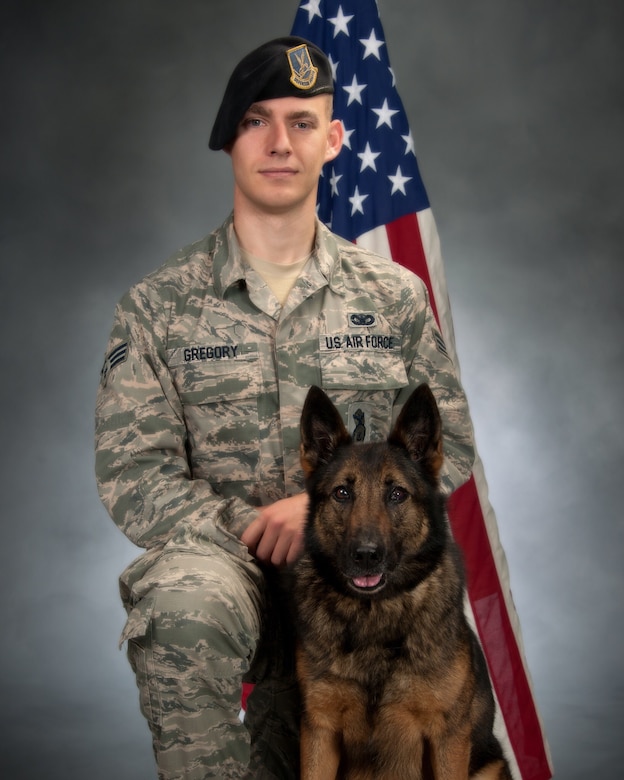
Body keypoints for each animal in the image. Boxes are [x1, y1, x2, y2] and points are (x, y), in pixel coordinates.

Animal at [294, 386, 510, 780]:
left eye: (397, 494)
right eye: (342, 493)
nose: (366, 555)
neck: (375, 613)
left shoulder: (447, 739)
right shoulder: (319, 731)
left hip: (491, 765)